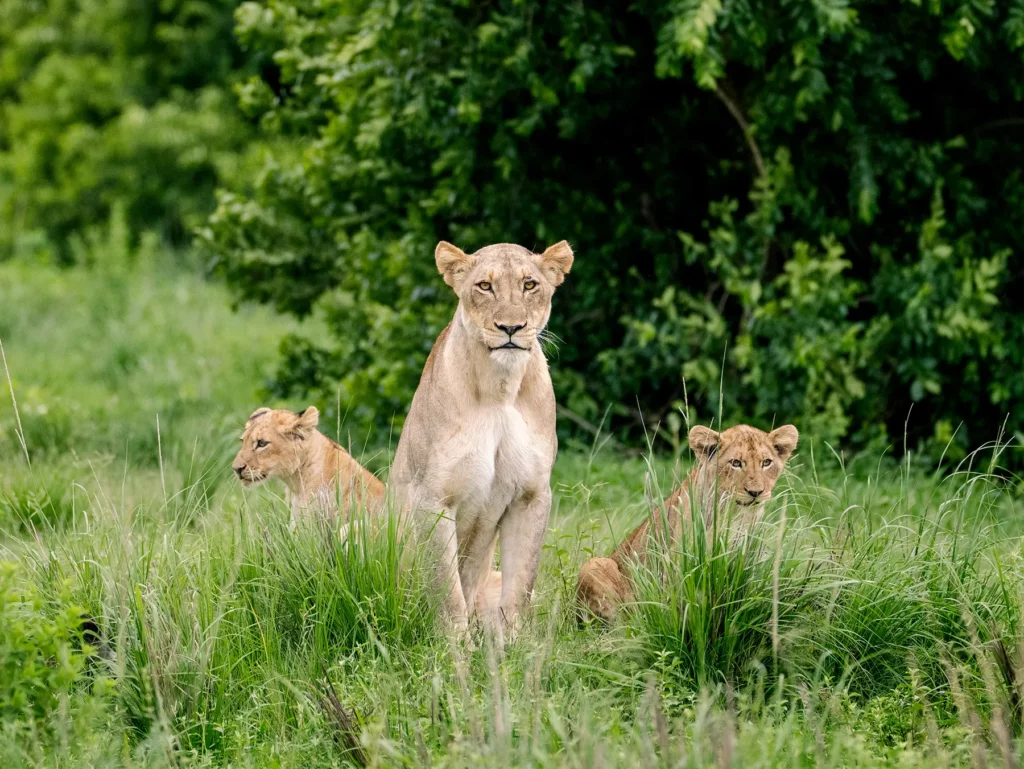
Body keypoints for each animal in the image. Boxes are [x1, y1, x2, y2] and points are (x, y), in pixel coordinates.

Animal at [390, 240, 574, 642]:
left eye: (529, 284)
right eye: (484, 286)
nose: (511, 327)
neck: (500, 388)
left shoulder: (531, 495)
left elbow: (521, 583)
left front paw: (514, 644)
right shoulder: (433, 497)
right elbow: (447, 587)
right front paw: (456, 645)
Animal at [576, 423, 799, 623]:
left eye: (766, 462)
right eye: (735, 463)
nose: (756, 492)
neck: (735, 515)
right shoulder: (677, 562)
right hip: (595, 565)